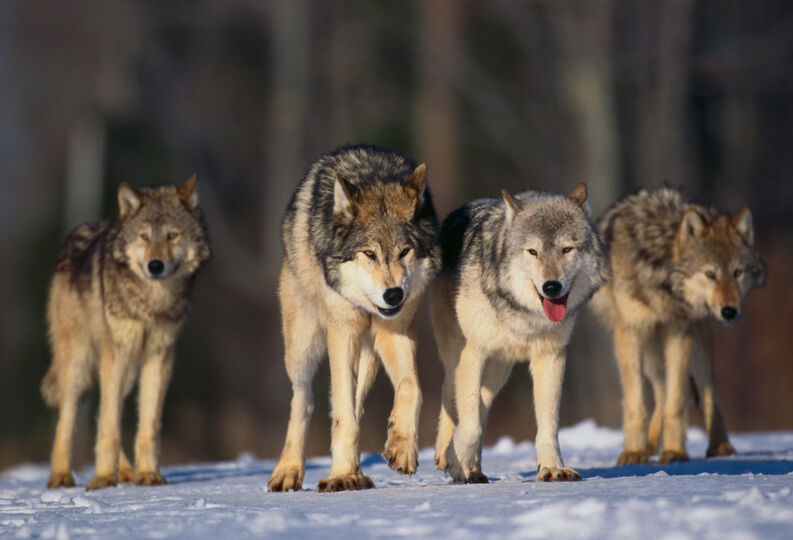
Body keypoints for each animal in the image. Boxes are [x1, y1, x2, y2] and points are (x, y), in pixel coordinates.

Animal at [41, 176, 210, 490]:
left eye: (172, 236)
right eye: (144, 237)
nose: (155, 265)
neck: (151, 301)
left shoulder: (160, 354)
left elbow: (148, 425)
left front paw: (148, 474)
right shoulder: (116, 352)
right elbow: (109, 425)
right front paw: (102, 479)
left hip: (128, 368)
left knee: (102, 411)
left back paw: (128, 472)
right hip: (80, 362)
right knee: (68, 417)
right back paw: (60, 476)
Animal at [266, 146, 440, 492]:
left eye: (404, 252)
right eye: (369, 253)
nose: (393, 295)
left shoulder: (394, 330)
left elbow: (412, 387)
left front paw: (402, 448)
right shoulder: (342, 331)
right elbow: (342, 415)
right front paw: (341, 475)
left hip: (369, 351)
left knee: (354, 402)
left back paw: (357, 472)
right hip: (303, 345)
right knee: (304, 400)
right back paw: (289, 472)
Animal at [426, 184, 608, 484]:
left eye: (566, 249)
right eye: (532, 251)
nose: (551, 287)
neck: (524, 314)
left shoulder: (551, 357)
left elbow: (548, 425)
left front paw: (552, 468)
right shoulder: (473, 354)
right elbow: (470, 424)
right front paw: (456, 460)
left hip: (499, 371)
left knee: (482, 406)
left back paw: (474, 469)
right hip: (458, 356)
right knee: (450, 396)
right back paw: (447, 456)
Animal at [592, 189, 768, 464]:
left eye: (737, 273)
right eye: (710, 274)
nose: (729, 311)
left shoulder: (680, 331)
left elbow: (677, 400)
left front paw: (674, 451)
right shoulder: (630, 332)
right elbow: (636, 403)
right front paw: (634, 452)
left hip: (696, 344)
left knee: (705, 394)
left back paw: (719, 446)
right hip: (651, 350)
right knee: (660, 392)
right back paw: (650, 444)